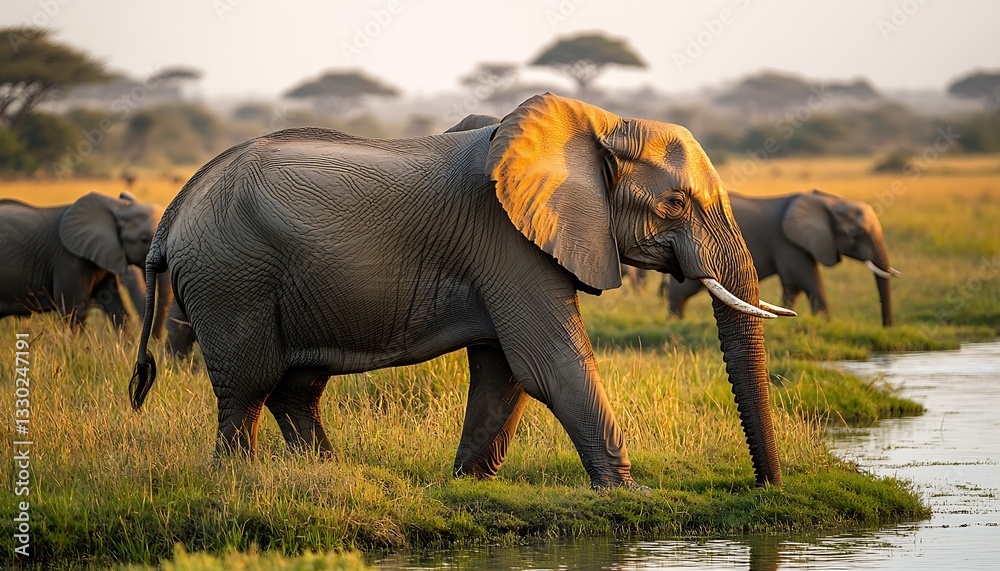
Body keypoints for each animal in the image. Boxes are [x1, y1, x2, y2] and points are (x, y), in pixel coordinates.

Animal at [130, 93, 794, 488]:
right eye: (676, 204)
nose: (765, 487)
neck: (597, 123)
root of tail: (174, 211)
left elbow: (506, 372)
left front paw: (468, 484)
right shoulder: (508, 240)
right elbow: (548, 363)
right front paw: (629, 494)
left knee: (297, 387)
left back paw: (328, 473)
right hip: (229, 277)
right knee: (247, 387)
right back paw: (237, 483)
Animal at [666, 190, 899, 326]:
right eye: (856, 233)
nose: (886, 327)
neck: (829, 200)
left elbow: (793, 286)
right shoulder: (787, 242)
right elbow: (807, 279)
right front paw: (826, 322)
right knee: (683, 289)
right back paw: (675, 321)